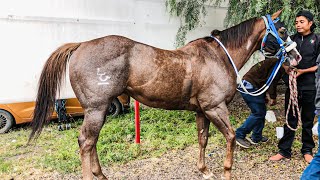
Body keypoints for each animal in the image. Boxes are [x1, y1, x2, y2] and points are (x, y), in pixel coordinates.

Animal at [29, 10, 300, 179]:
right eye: (283, 30)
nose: (296, 57)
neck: (218, 57)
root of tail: (80, 45)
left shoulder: (202, 111)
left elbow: (202, 139)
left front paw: (204, 170)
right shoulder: (215, 107)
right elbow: (231, 137)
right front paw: (225, 171)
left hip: (98, 110)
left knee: (90, 142)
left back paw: (101, 175)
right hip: (97, 109)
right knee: (86, 142)